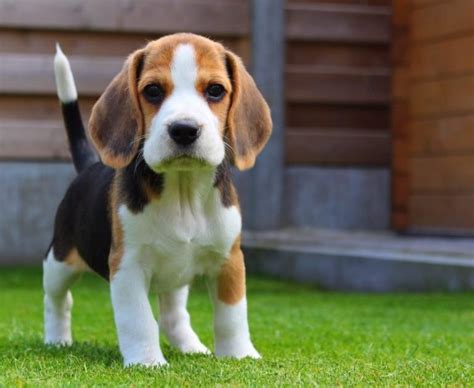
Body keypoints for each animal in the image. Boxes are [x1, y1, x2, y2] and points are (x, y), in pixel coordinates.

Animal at [43, 33, 274, 366]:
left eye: (215, 90)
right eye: (152, 90)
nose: (184, 130)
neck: (183, 191)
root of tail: (89, 166)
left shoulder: (229, 260)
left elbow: (231, 315)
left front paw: (239, 354)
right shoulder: (127, 265)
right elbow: (139, 319)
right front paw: (147, 362)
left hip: (176, 276)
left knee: (173, 316)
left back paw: (191, 346)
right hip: (60, 260)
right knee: (58, 299)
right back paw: (56, 339)